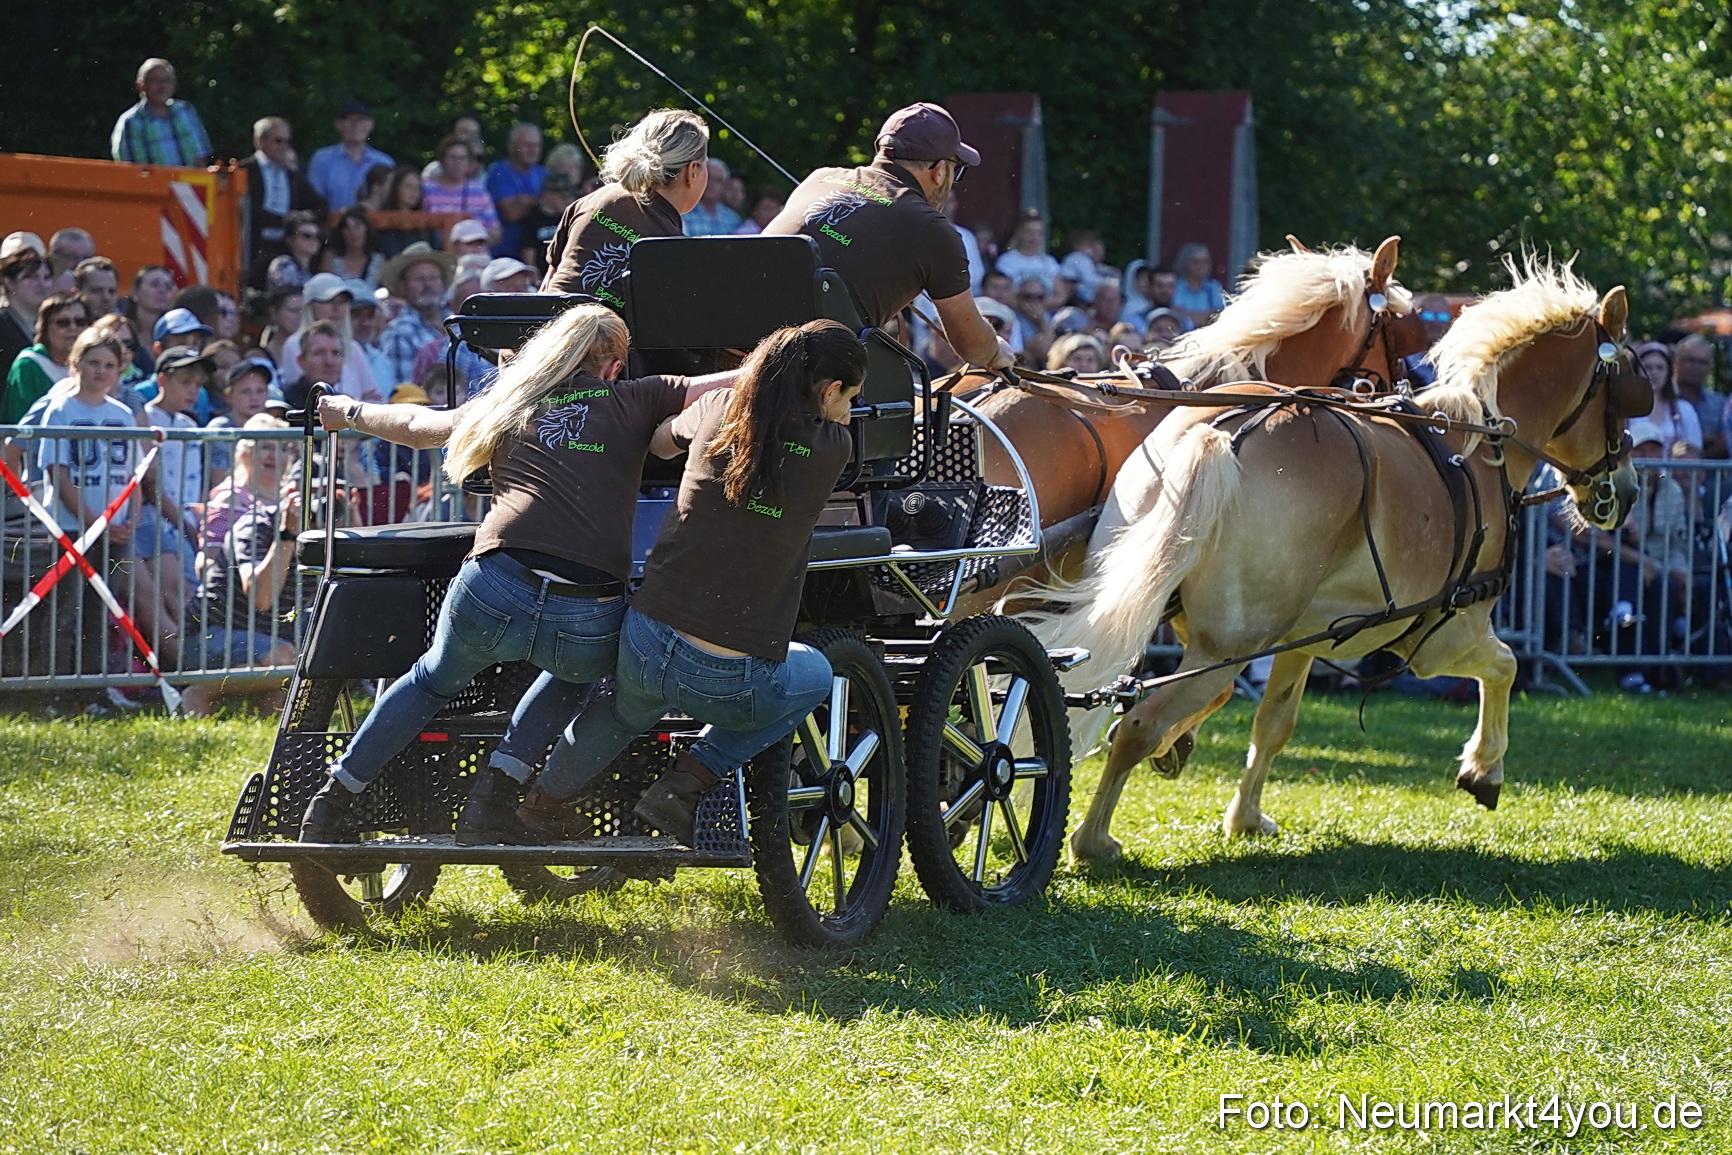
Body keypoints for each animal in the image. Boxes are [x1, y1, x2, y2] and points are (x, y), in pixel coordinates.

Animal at [1031, 260, 1646, 863]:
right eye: (1630, 393)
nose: (1627, 492)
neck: (1480, 445)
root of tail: (1216, 431)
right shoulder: (1446, 634)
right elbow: (1506, 666)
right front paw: (1483, 769)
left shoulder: (1302, 638)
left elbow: (1272, 723)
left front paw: (1241, 813)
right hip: (1231, 646)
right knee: (1138, 721)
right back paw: (1092, 840)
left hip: (1210, 627)